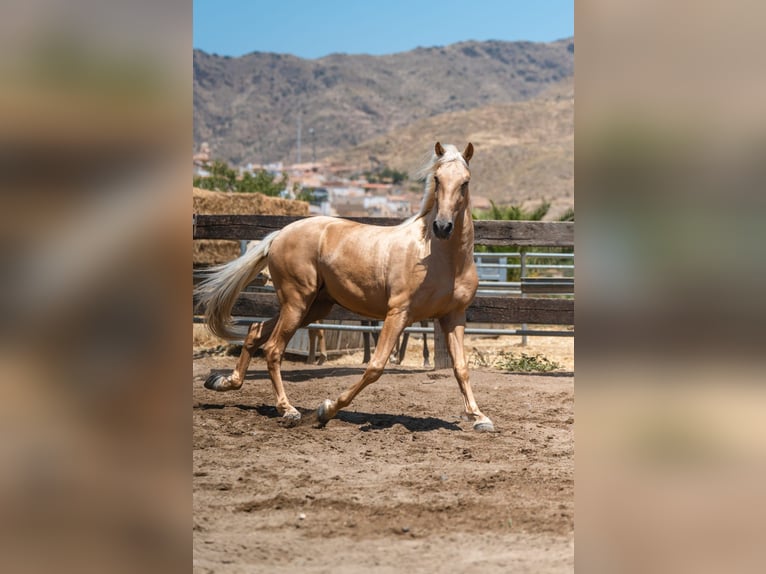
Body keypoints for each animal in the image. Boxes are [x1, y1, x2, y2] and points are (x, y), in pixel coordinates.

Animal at [194, 142, 494, 432]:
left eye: (465, 182)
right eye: (437, 179)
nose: (442, 226)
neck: (440, 259)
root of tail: (280, 234)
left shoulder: (453, 317)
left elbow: (461, 368)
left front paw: (480, 417)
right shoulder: (398, 313)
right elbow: (375, 366)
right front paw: (326, 410)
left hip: (314, 307)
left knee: (255, 331)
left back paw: (223, 382)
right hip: (297, 302)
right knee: (272, 349)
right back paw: (288, 410)